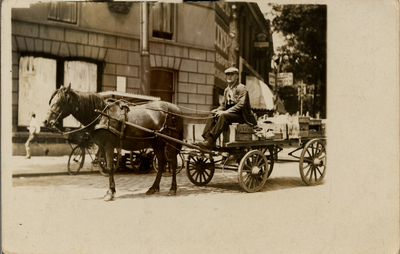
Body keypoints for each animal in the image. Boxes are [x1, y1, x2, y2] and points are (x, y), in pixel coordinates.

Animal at [43, 85, 184, 200]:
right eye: (51, 101)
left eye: (60, 101)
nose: (46, 122)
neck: (102, 115)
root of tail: (176, 109)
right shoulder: (102, 146)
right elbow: (107, 165)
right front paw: (111, 190)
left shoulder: (109, 145)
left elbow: (110, 167)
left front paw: (110, 193)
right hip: (157, 143)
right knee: (162, 163)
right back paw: (153, 188)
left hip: (170, 143)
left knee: (173, 163)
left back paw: (172, 188)